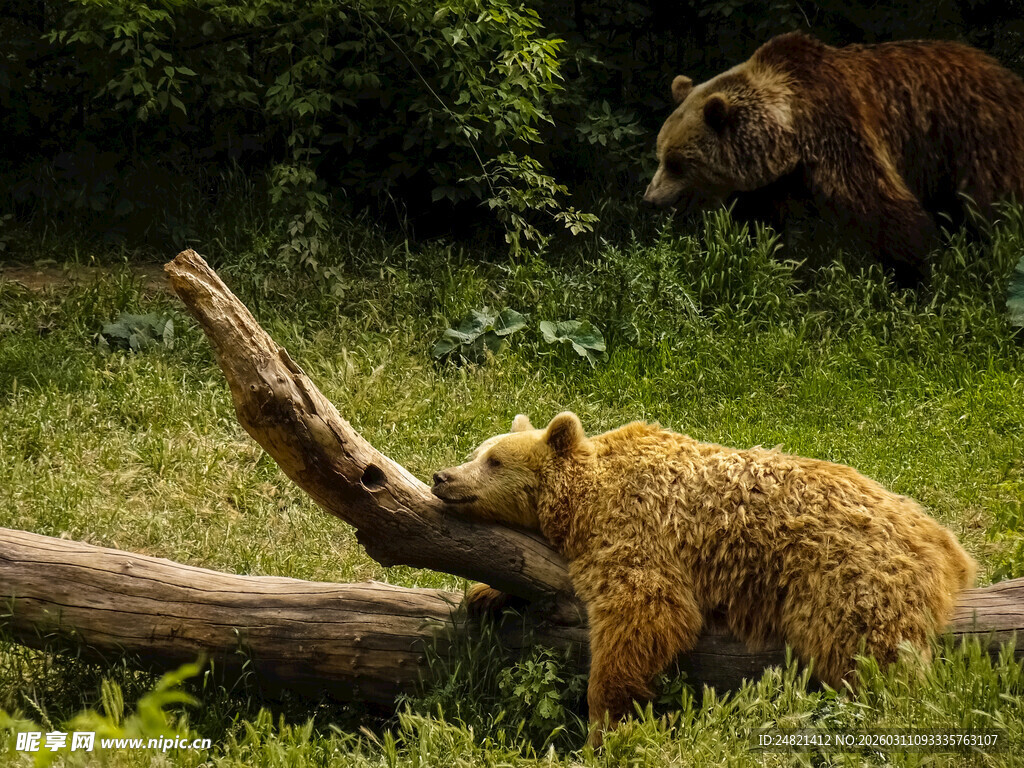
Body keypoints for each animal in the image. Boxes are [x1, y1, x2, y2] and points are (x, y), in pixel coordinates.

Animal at [431, 412, 976, 746]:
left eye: (493, 461)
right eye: (477, 450)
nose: (442, 476)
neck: (581, 501)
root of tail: (947, 545)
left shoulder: (635, 527)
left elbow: (644, 611)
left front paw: (603, 726)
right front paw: (483, 592)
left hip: (847, 578)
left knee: (872, 658)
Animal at [642, 32, 1024, 283]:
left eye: (676, 162)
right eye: (659, 154)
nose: (650, 198)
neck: (790, 132)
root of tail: (1008, 76)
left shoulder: (837, 128)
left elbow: (880, 204)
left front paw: (912, 273)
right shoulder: (771, 180)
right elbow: (760, 225)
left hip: (978, 135)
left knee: (994, 206)